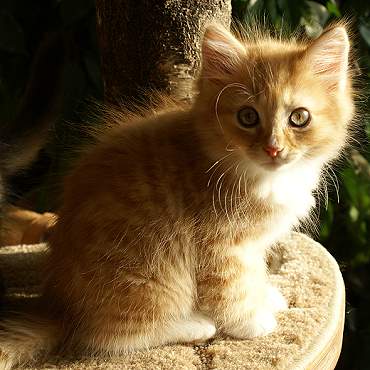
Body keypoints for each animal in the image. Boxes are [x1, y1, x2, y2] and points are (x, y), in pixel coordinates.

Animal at [0, 23, 354, 368]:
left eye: (299, 118)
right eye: (248, 117)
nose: (273, 148)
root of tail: (59, 309)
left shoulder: (251, 245)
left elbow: (254, 273)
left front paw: (264, 296)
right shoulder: (221, 245)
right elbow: (231, 287)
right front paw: (251, 322)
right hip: (151, 277)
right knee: (112, 336)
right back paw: (194, 325)